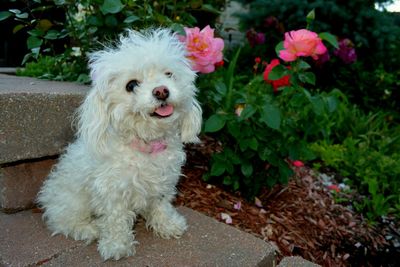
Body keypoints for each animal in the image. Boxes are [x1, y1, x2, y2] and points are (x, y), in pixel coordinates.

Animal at [36, 28, 202, 260]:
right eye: (131, 85)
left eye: (169, 74)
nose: (161, 91)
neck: (145, 145)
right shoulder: (112, 192)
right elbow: (115, 220)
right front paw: (117, 245)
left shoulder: (163, 184)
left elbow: (160, 205)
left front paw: (168, 225)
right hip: (72, 202)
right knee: (63, 222)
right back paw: (91, 228)